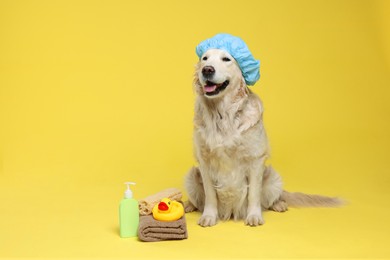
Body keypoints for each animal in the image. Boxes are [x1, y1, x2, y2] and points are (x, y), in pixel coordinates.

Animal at [184, 47, 340, 226]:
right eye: (205, 58)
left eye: (226, 59)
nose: (207, 69)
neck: (223, 114)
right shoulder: (204, 160)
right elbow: (210, 194)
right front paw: (209, 216)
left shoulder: (255, 159)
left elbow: (253, 194)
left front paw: (254, 216)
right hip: (191, 177)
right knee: (198, 200)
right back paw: (188, 205)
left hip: (273, 178)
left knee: (271, 199)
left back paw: (279, 204)